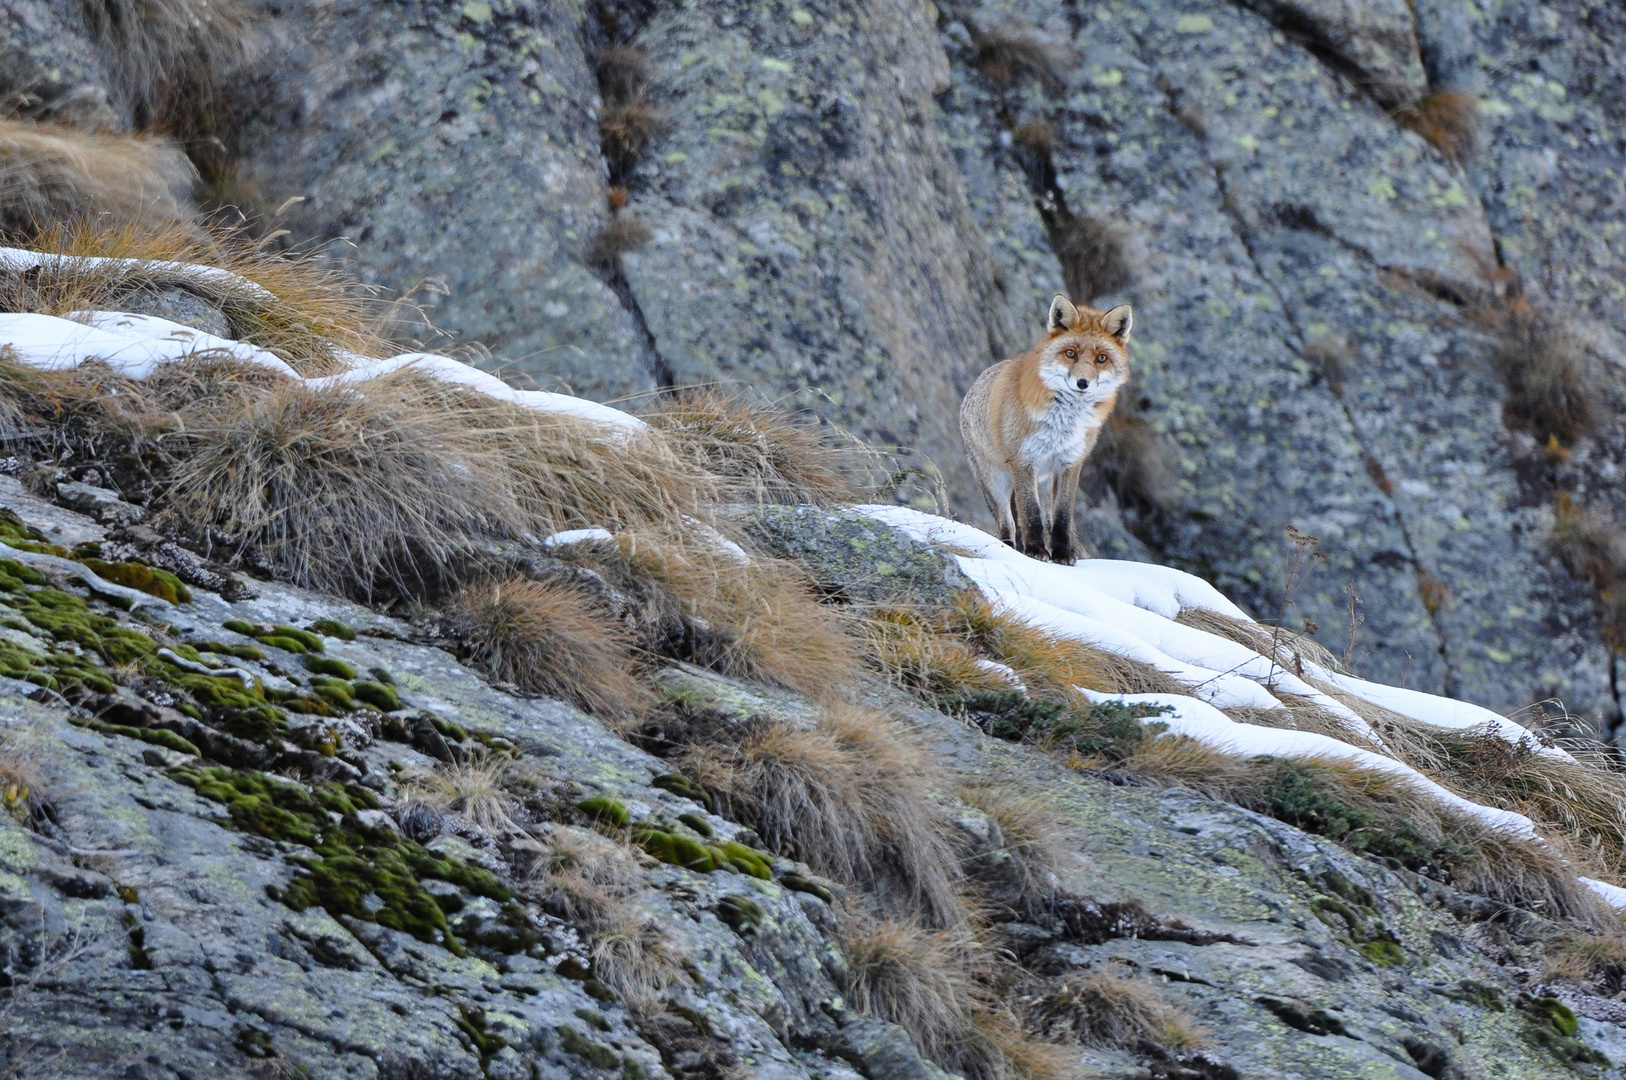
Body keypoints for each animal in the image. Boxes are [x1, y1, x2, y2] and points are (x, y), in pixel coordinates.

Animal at [949, 296, 1131, 566]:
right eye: (1070, 353)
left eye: (1101, 358)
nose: (1083, 383)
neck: (1064, 423)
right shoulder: (1023, 461)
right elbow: (1029, 513)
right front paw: (1035, 550)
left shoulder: (1070, 463)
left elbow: (1061, 518)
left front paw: (1063, 553)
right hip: (996, 479)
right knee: (1006, 521)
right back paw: (1008, 547)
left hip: (1044, 481)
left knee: (1046, 519)